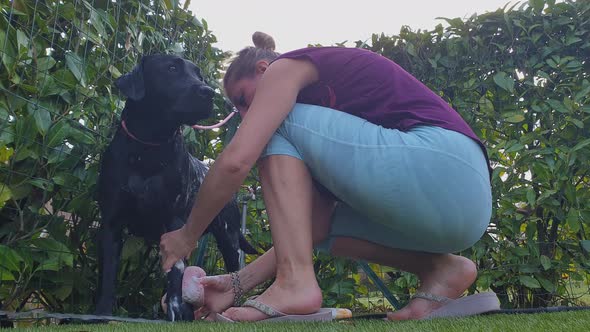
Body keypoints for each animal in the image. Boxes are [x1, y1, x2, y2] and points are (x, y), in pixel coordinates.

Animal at [95, 54, 256, 322]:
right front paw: (101, 314)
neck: (148, 149)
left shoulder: (174, 223)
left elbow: (175, 279)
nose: (208, 92)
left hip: (229, 238)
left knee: (234, 275)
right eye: (171, 68)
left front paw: (174, 313)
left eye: (199, 75)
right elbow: (107, 278)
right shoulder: (111, 224)